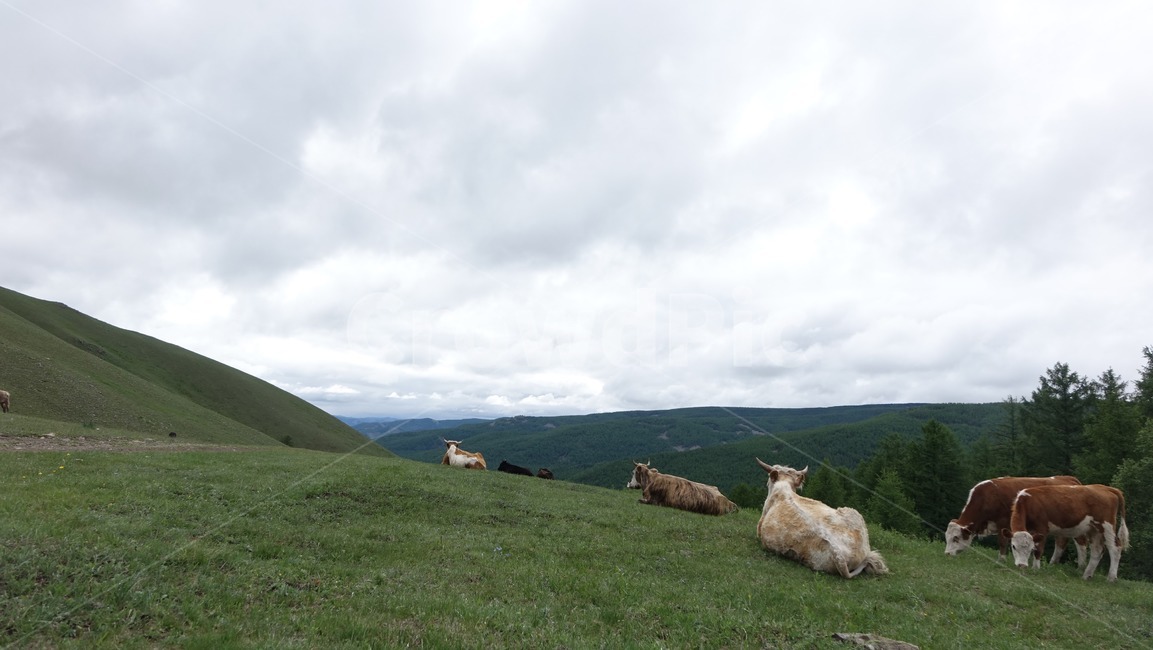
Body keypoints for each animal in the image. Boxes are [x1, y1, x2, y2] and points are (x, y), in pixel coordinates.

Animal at [945, 475, 1084, 563]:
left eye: (956, 538)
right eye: (946, 537)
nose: (947, 554)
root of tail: (1070, 478)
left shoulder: (1002, 522)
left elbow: (1002, 542)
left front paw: (1001, 560)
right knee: (1061, 541)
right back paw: (1052, 563)